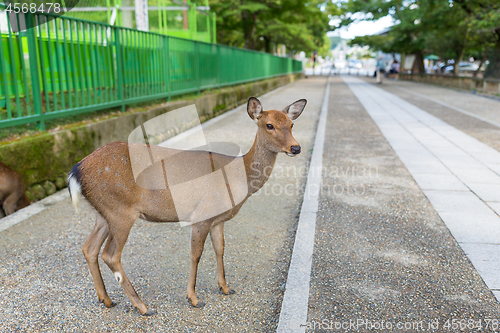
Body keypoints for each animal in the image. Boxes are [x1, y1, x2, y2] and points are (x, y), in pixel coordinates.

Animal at [68, 96, 306, 314]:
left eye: (291, 124)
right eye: (269, 125)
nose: (296, 148)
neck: (239, 176)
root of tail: (76, 171)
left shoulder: (218, 220)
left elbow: (220, 249)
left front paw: (225, 287)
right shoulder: (202, 214)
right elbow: (196, 254)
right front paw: (193, 298)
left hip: (103, 213)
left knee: (89, 247)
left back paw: (106, 299)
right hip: (120, 210)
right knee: (110, 254)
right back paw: (143, 306)